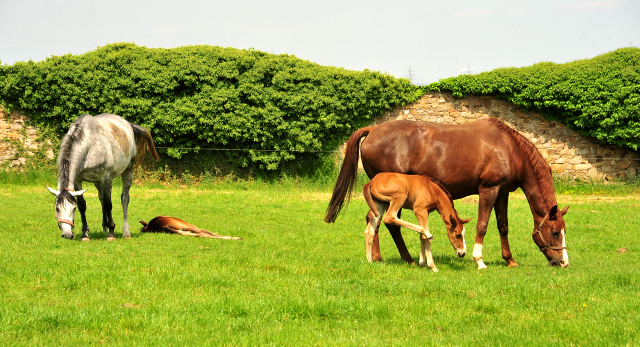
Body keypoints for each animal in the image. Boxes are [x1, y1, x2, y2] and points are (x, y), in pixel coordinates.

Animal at [46, 114, 159, 242]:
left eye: (73, 209)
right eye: (57, 208)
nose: (67, 234)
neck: (88, 144)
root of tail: (127, 124)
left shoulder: (107, 178)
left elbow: (108, 204)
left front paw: (111, 233)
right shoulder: (77, 180)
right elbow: (83, 205)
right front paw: (85, 234)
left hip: (127, 171)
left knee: (124, 199)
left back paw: (125, 232)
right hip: (98, 182)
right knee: (101, 199)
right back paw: (105, 227)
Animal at [324, 119, 568, 270]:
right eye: (555, 232)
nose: (563, 262)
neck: (509, 148)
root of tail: (372, 130)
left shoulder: (502, 193)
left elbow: (503, 226)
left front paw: (509, 260)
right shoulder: (488, 189)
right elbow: (482, 225)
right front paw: (479, 260)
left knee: (374, 219)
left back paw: (377, 257)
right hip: (394, 197)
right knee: (391, 224)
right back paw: (407, 258)